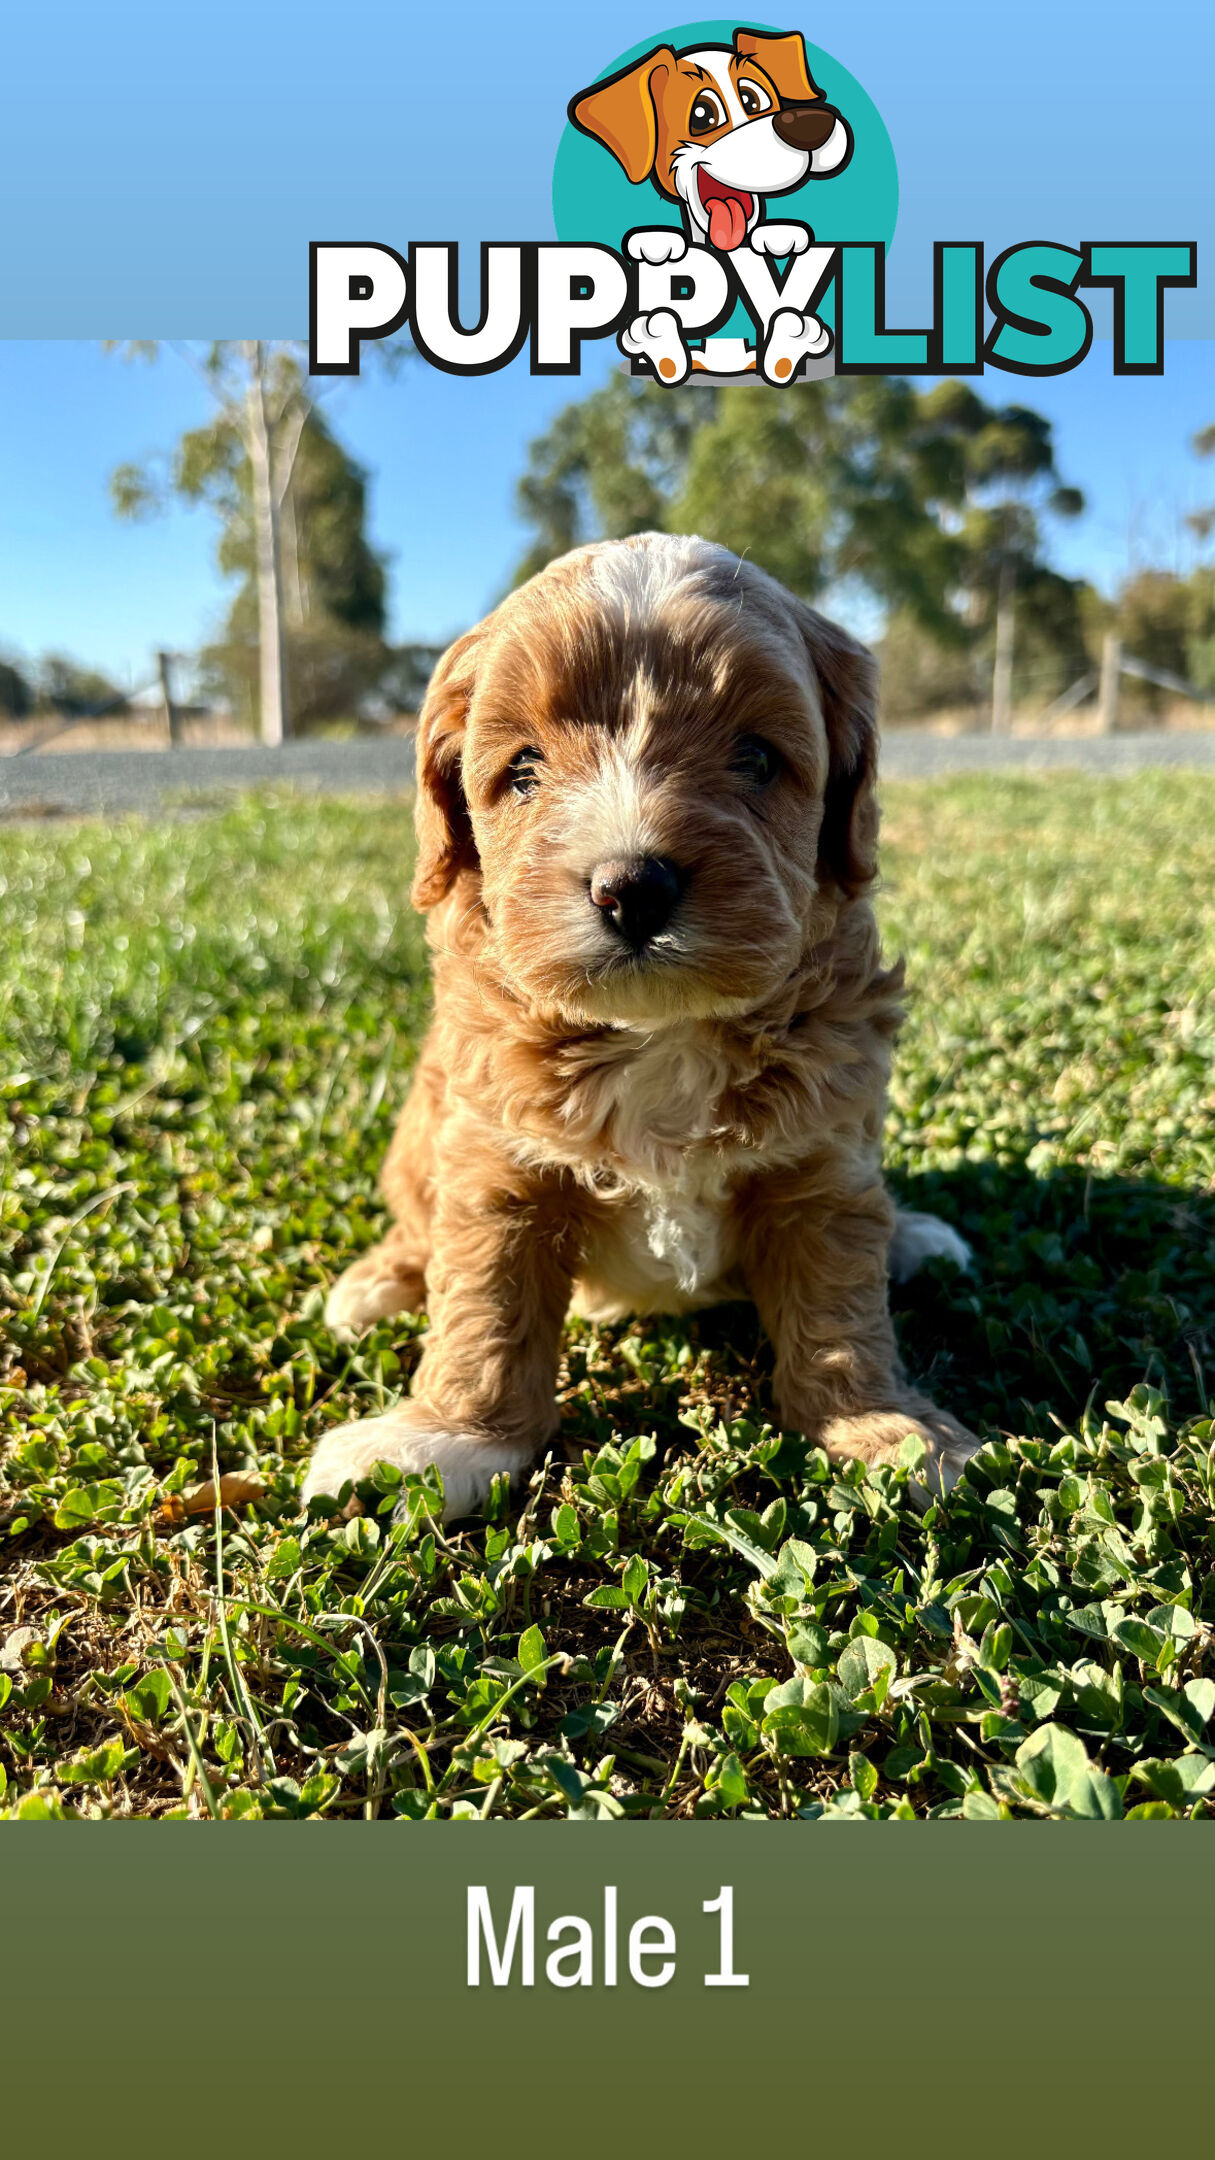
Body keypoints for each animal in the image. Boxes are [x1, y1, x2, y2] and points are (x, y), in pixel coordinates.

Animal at [302, 533, 972, 1520]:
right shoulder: (495, 1161)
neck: (661, 1032)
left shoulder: (822, 1162)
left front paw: (881, 1426)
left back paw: (914, 1233)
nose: (632, 887)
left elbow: (839, 1305)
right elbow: (483, 1303)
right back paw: (378, 1281)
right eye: (524, 771)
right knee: (417, 1224)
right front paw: (446, 1439)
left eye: (756, 758)